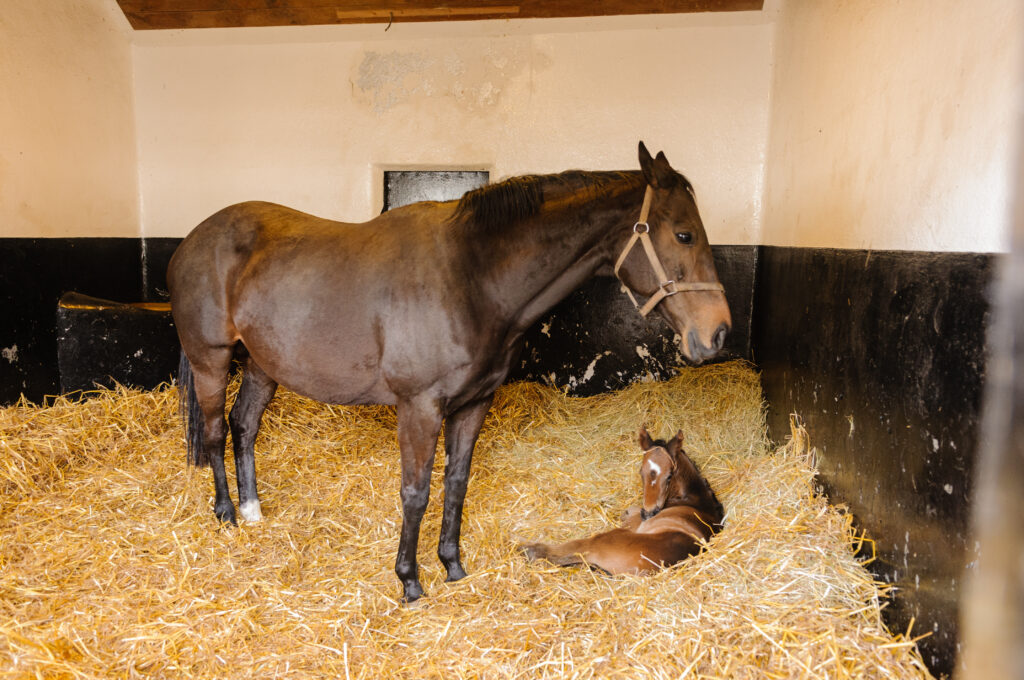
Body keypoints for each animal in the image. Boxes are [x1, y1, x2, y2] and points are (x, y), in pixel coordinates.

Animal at [520, 428, 729, 569]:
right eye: (641, 472)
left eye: (669, 476)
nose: (649, 513)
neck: (695, 499)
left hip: (603, 539)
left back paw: (529, 549)